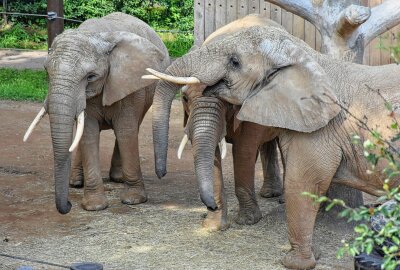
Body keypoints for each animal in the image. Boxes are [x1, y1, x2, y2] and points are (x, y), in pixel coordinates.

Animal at [23, 12, 169, 215]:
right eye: (46, 72)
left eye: (91, 77)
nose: (68, 205)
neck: (96, 35)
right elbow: (88, 133)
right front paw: (95, 206)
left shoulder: (130, 83)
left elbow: (126, 131)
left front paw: (133, 200)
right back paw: (76, 182)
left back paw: (117, 178)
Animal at [147, 23, 400, 268]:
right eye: (185, 99)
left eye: (235, 61)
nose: (161, 173)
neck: (301, 55)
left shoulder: (321, 129)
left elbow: (302, 184)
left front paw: (294, 263)